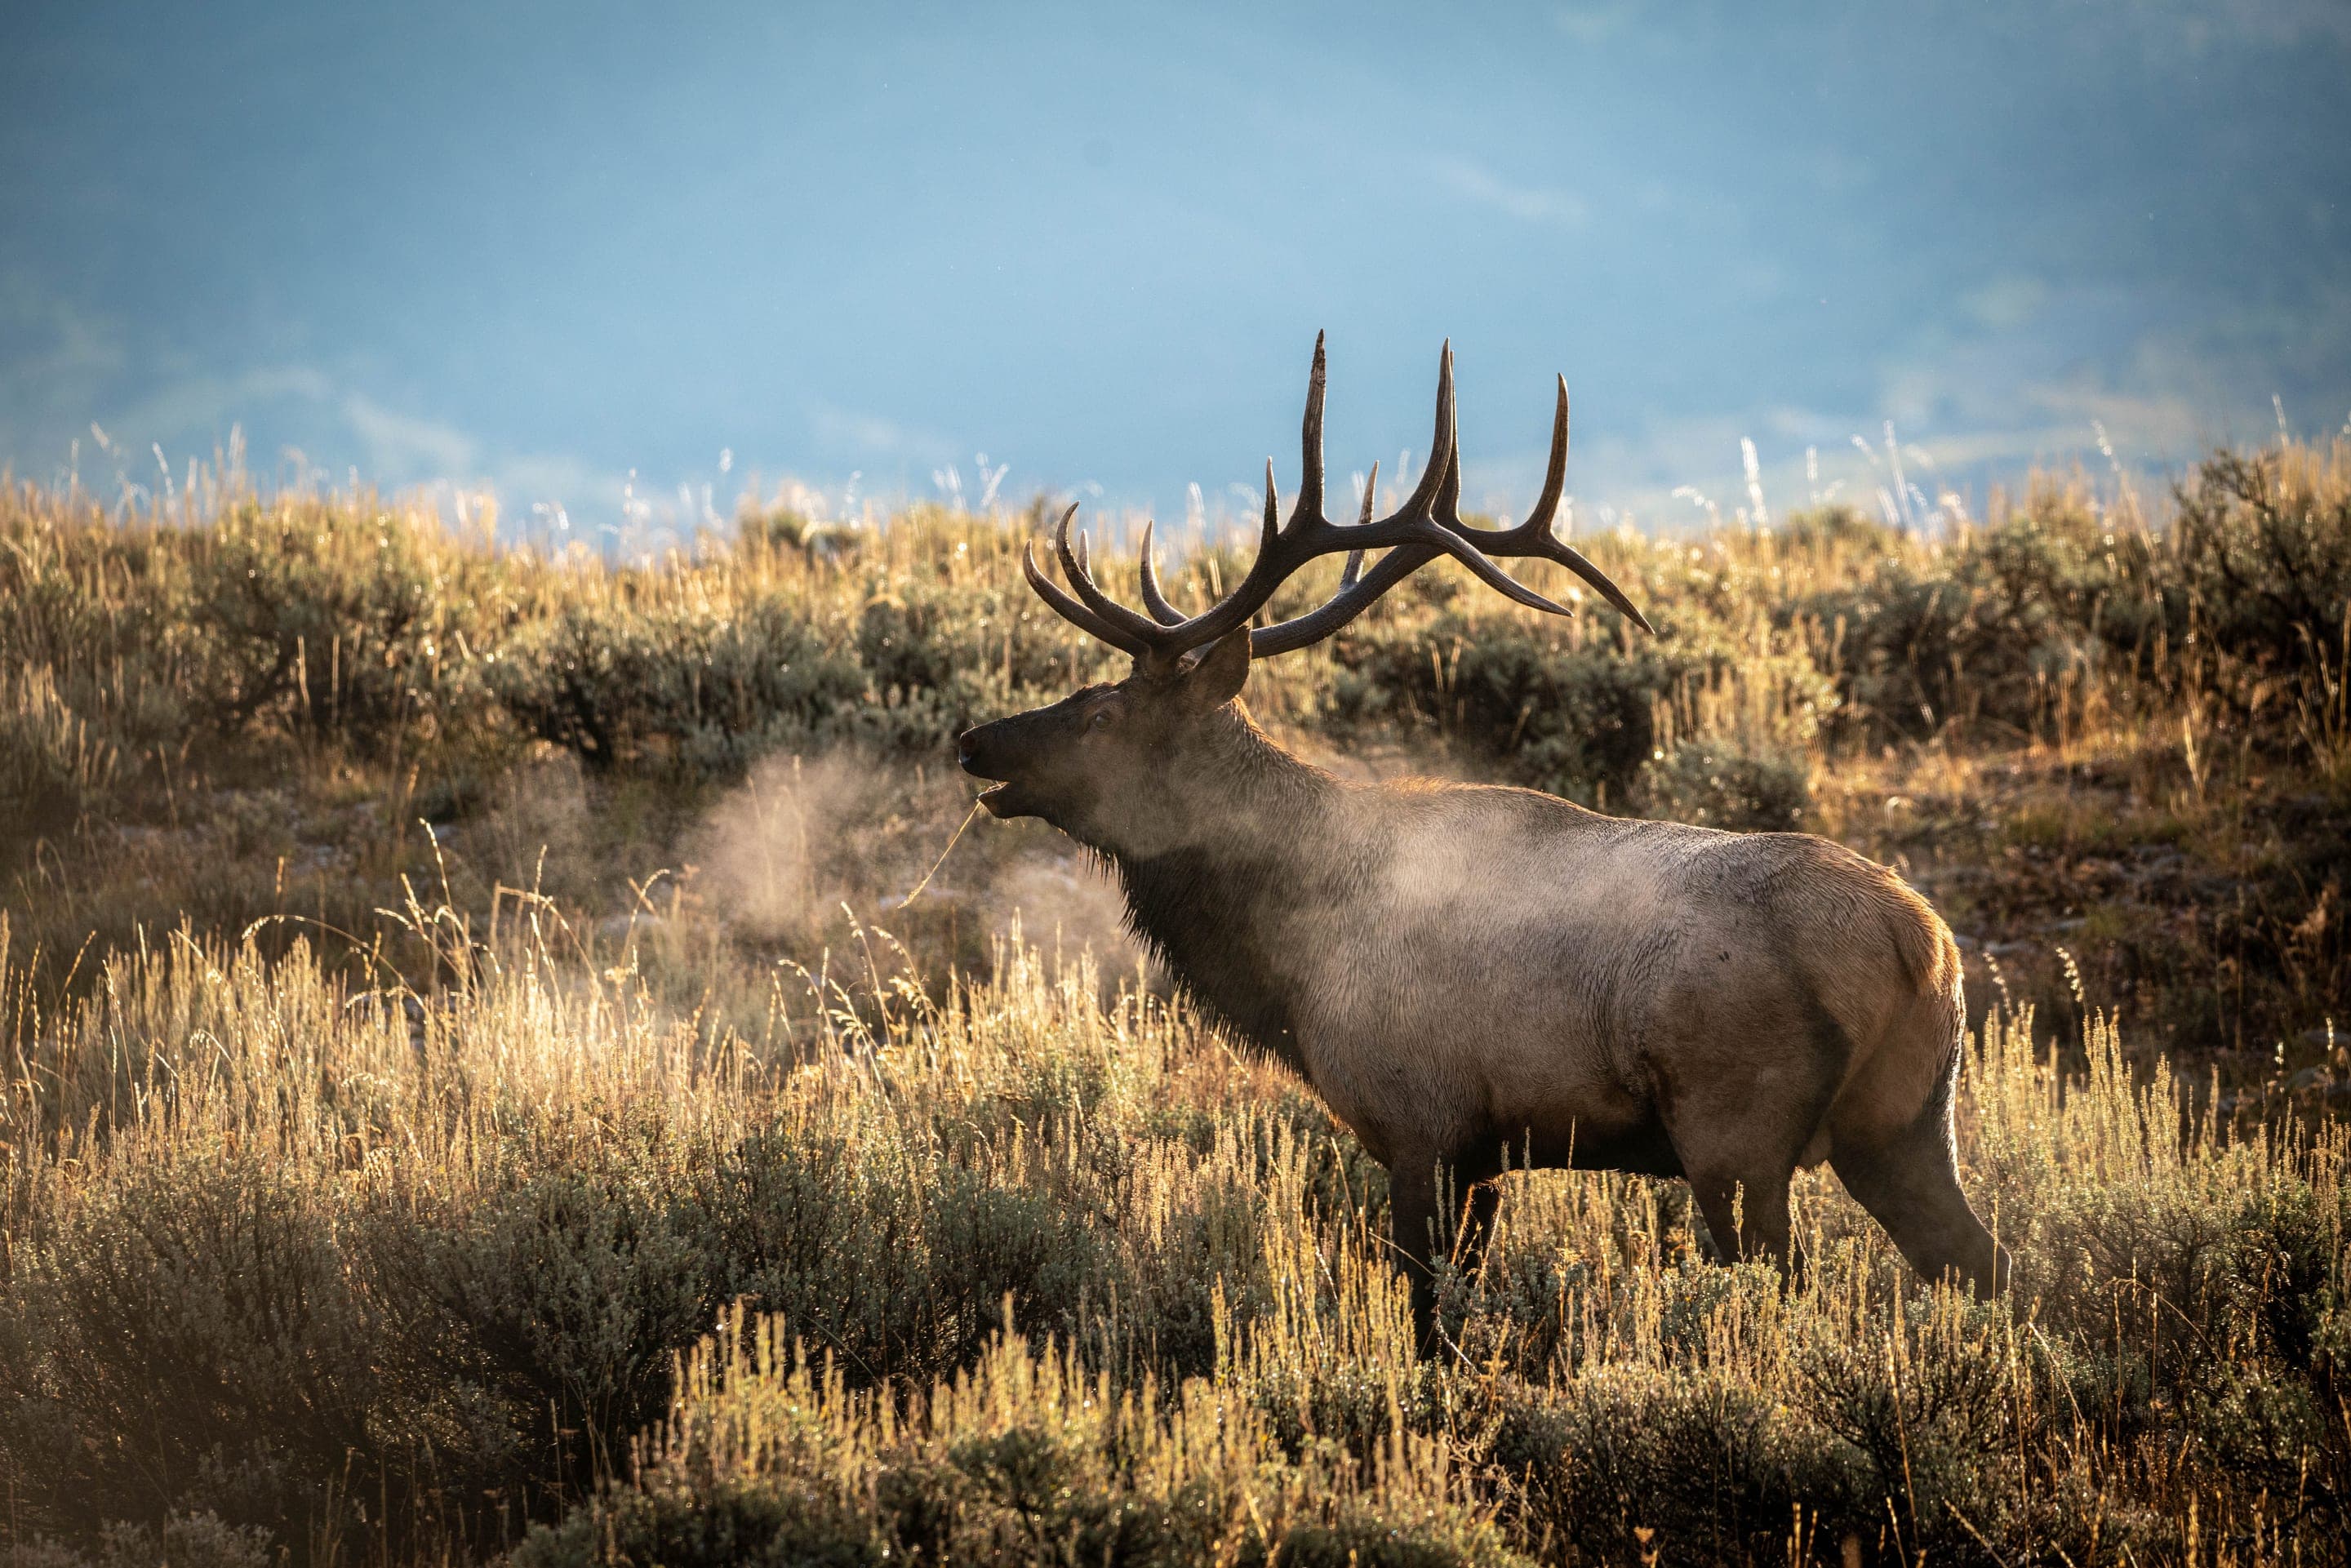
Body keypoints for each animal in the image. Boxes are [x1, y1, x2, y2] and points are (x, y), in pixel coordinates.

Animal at [956, 336, 2010, 1348]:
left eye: (1103, 712)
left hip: (1735, 1129)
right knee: (1987, 1266)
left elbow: (1427, 1313)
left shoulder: (1420, 1121)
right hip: (1909, 1121)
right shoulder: (1489, 1151)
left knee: (1789, 1285)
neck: (1289, 965)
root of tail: (1923, 947)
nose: (973, 739)